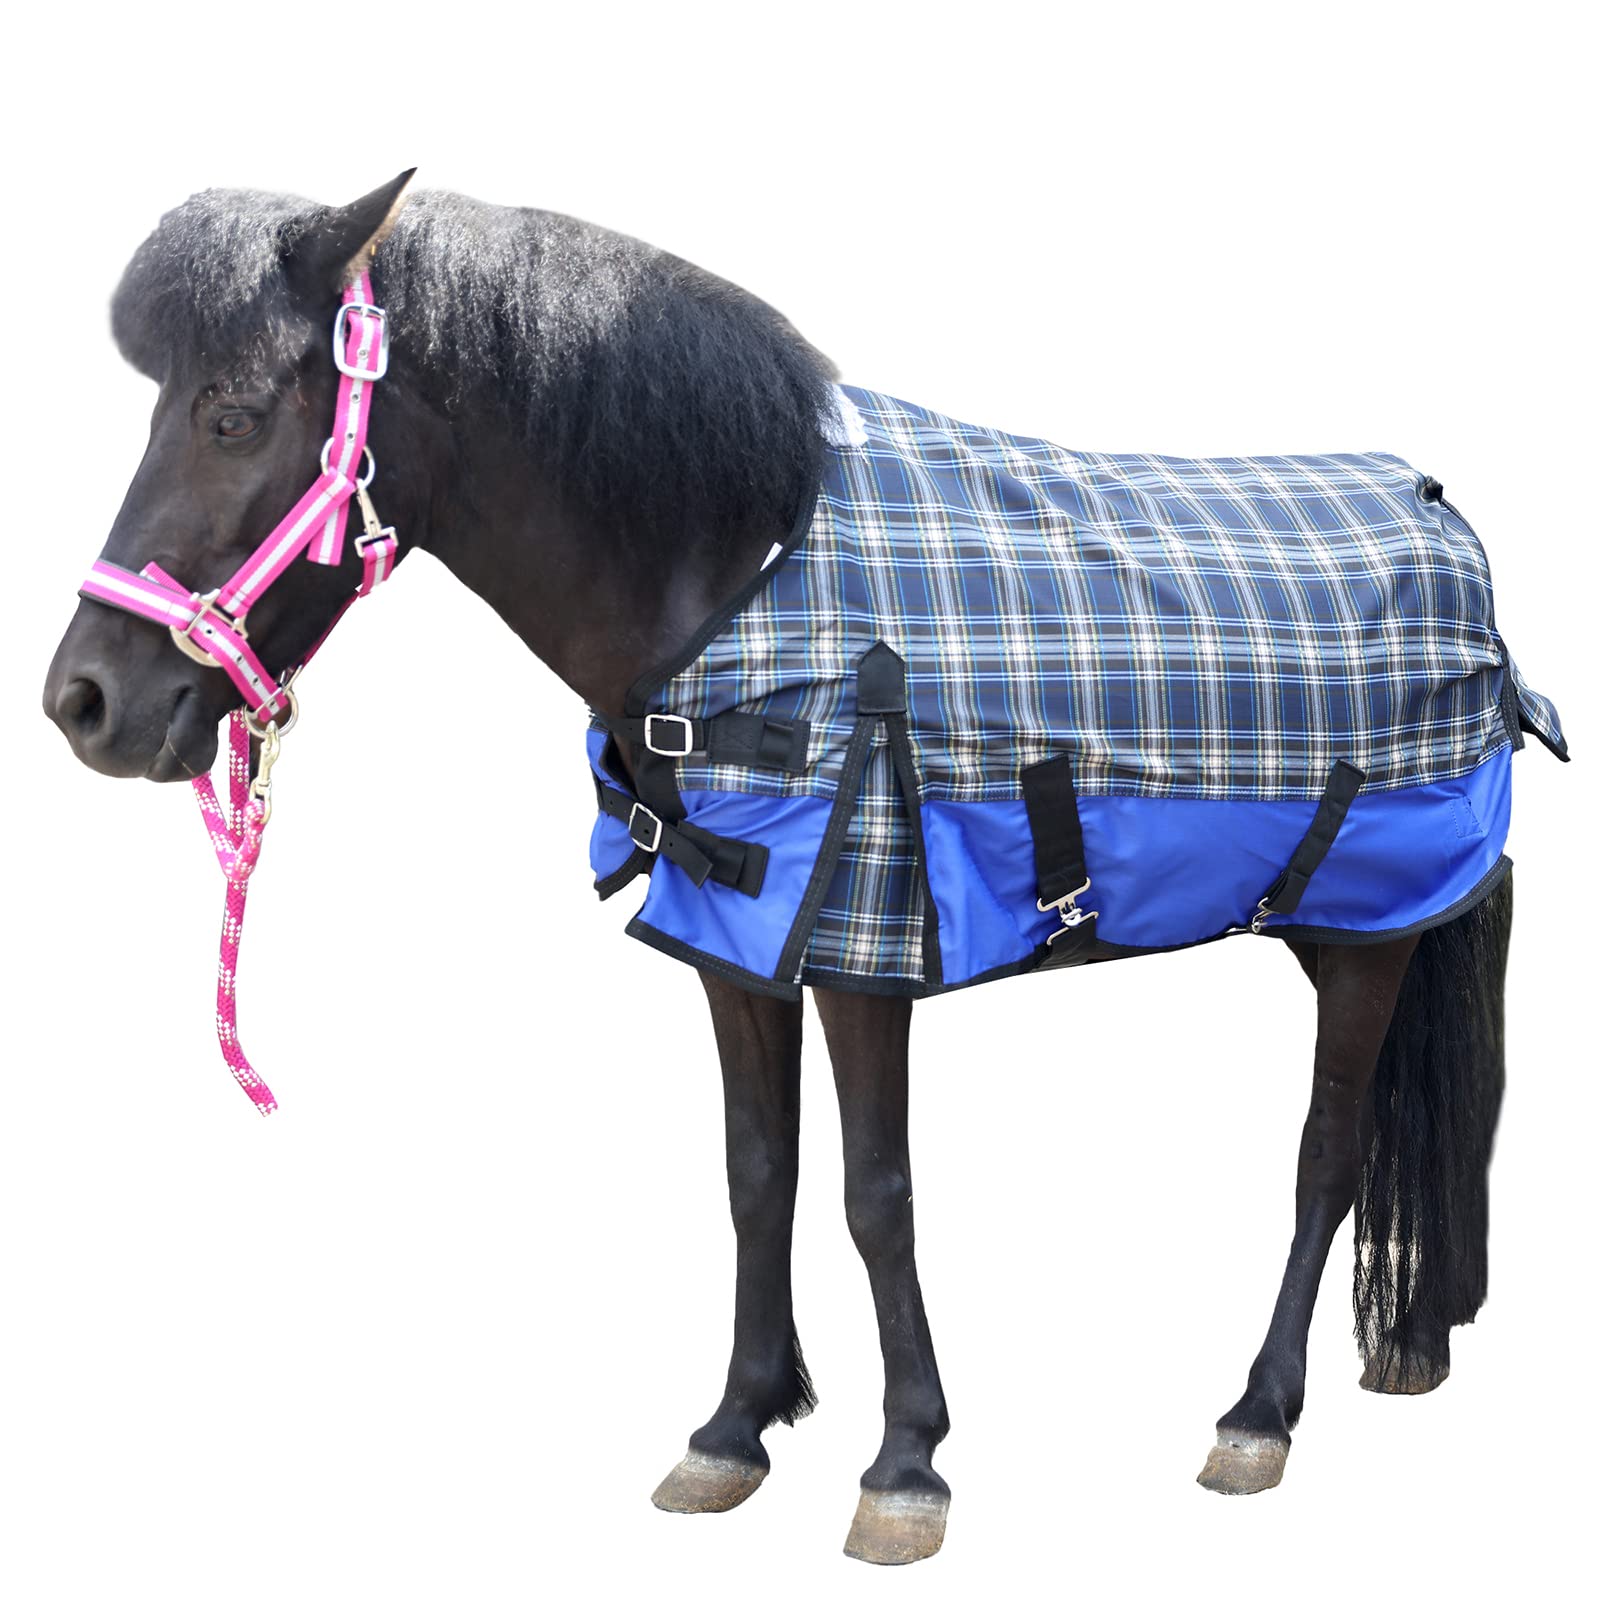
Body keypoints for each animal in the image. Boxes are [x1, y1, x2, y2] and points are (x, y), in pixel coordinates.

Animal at [42, 172, 1561, 1565]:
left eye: (233, 413)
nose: (84, 705)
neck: (732, 573)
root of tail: (1446, 525)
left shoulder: (859, 945)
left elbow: (875, 1196)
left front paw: (906, 1465)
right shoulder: (740, 940)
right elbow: (757, 1174)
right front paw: (735, 1427)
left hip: (1368, 937)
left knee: (1325, 1156)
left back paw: (1258, 1414)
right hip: (1338, 924)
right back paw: (1409, 1342)